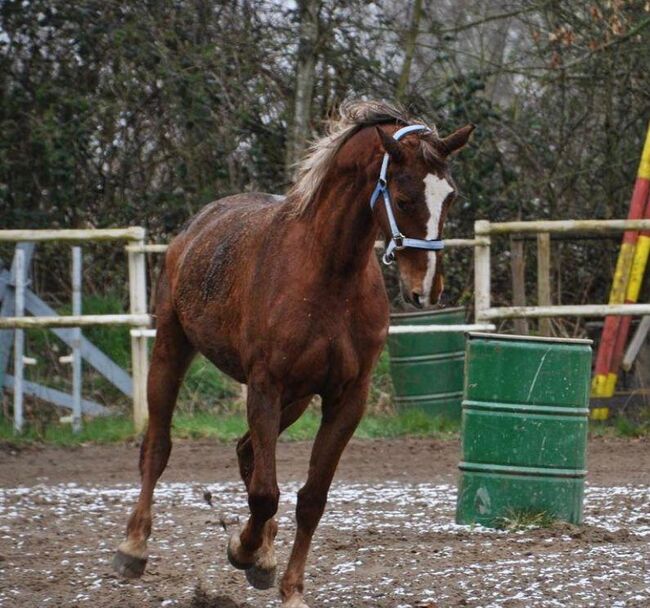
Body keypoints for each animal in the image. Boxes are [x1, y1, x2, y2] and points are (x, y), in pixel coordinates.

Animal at [112, 101, 470, 608]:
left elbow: (311, 497)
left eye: (451, 198)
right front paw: (243, 551)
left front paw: (285, 583)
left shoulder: (346, 398)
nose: (426, 290)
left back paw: (262, 553)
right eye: (403, 199)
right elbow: (266, 492)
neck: (328, 273)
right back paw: (134, 548)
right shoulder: (266, 386)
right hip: (171, 349)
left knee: (246, 450)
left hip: (297, 399)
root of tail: (196, 227)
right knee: (158, 448)